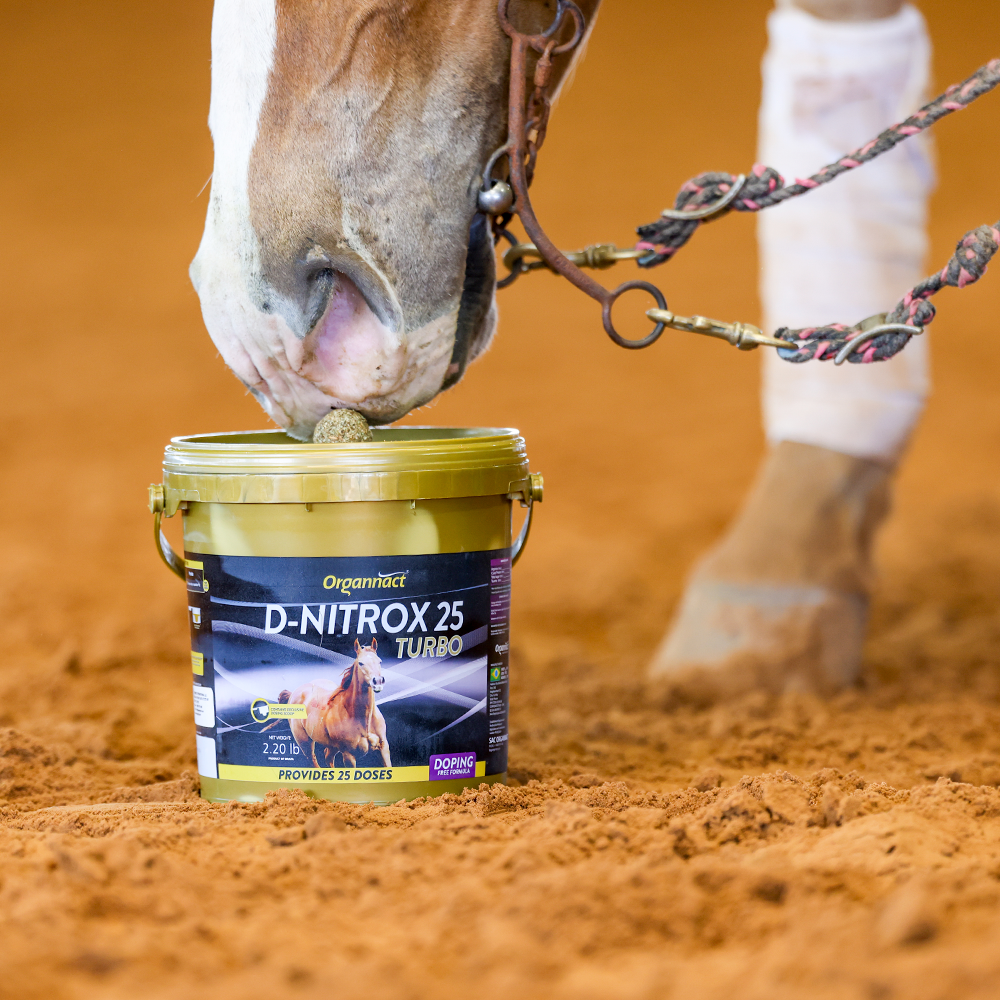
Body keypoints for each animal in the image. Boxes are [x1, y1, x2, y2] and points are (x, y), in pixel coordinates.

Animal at [281, 638, 391, 768]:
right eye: (361, 663)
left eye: (380, 661)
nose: (378, 681)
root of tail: (294, 693)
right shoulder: (349, 755)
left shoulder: (384, 748)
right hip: (305, 743)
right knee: (313, 760)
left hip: (331, 746)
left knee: (328, 757)